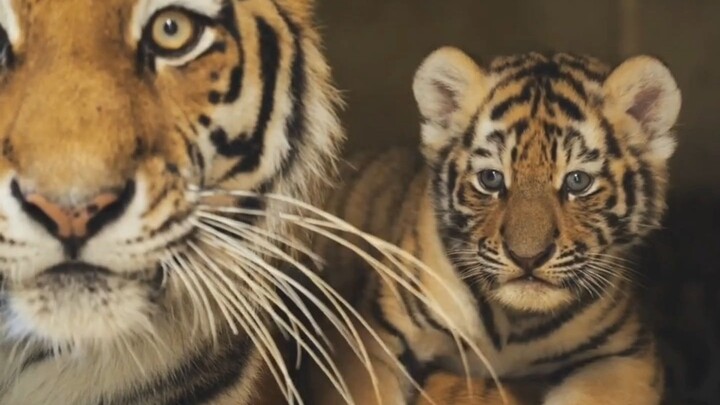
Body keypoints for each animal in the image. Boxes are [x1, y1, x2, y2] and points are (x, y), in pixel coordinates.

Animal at [308, 47, 681, 405]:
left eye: (577, 182)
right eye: (491, 179)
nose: (527, 258)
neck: (513, 324)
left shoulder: (624, 355)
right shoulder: (371, 336)